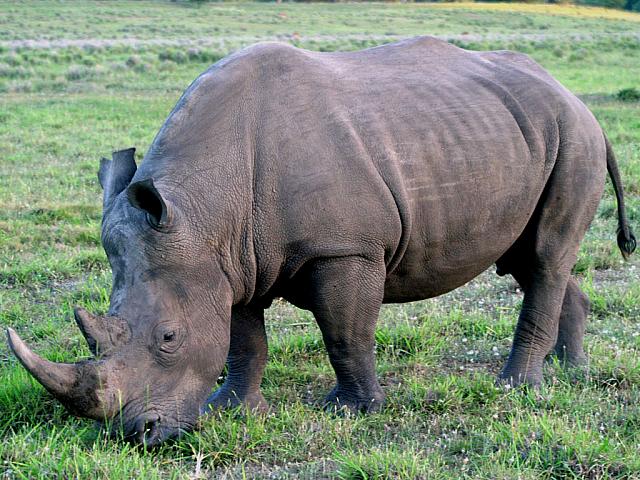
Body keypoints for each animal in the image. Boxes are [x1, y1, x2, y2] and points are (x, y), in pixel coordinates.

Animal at [7, 37, 636, 446]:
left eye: (168, 337)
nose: (140, 435)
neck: (204, 207)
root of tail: (574, 96)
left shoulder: (344, 247)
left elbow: (344, 332)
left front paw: (352, 411)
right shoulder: (228, 261)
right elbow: (243, 341)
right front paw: (233, 409)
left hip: (574, 137)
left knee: (545, 256)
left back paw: (516, 388)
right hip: (526, 135)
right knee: (533, 260)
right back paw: (571, 370)